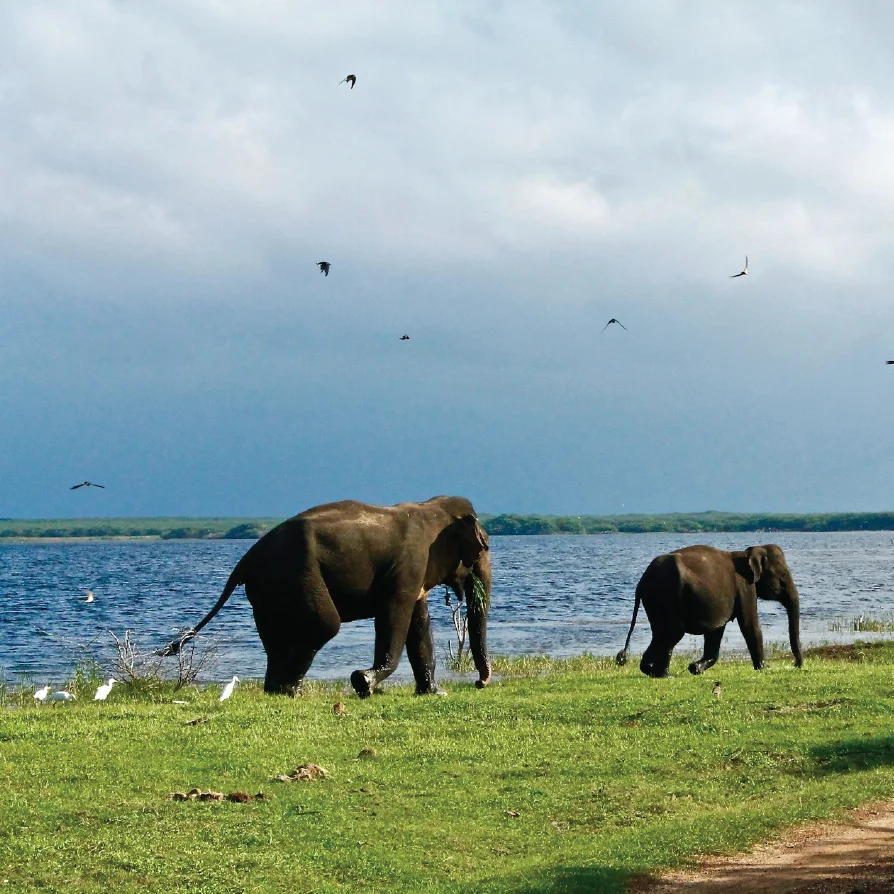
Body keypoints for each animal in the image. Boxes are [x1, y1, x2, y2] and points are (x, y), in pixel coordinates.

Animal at [163, 496, 496, 700]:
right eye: (485, 548)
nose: (480, 683)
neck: (431, 508)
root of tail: (245, 560)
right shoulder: (409, 567)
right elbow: (394, 617)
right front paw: (363, 682)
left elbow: (419, 625)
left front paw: (434, 693)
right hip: (297, 576)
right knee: (325, 625)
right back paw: (291, 690)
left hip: (267, 591)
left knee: (277, 638)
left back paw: (279, 691)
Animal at [616, 544, 804, 680]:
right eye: (782, 577)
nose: (795, 665)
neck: (749, 552)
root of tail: (642, 581)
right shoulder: (745, 587)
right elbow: (750, 626)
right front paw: (763, 668)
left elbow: (716, 631)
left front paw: (695, 668)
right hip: (667, 596)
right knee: (672, 633)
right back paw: (665, 675)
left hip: (655, 601)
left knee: (659, 633)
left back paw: (649, 670)